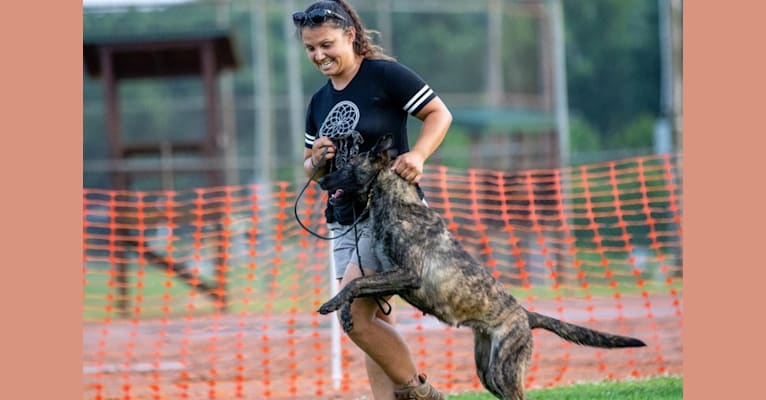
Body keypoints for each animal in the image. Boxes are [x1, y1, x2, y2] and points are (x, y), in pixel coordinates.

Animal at [318, 135, 648, 400]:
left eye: (348, 166)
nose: (321, 180)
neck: (398, 203)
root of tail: (525, 316)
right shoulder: (386, 275)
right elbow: (356, 286)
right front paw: (343, 310)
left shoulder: (407, 275)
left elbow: (355, 284)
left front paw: (331, 304)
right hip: (487, 371)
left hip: (504, 369)